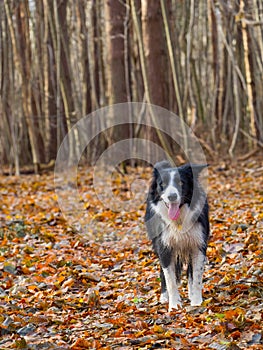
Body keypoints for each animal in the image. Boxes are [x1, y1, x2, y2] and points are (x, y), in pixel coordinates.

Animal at [145, 161, 209, 312]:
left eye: (181, 182)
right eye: (162, 184)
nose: (172, 196)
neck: (179, 220)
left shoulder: (198, 245)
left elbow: (196, 276)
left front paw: (196, 302)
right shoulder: (164, 247)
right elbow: (170, 280)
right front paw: (174, 305)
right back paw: (164, 297)